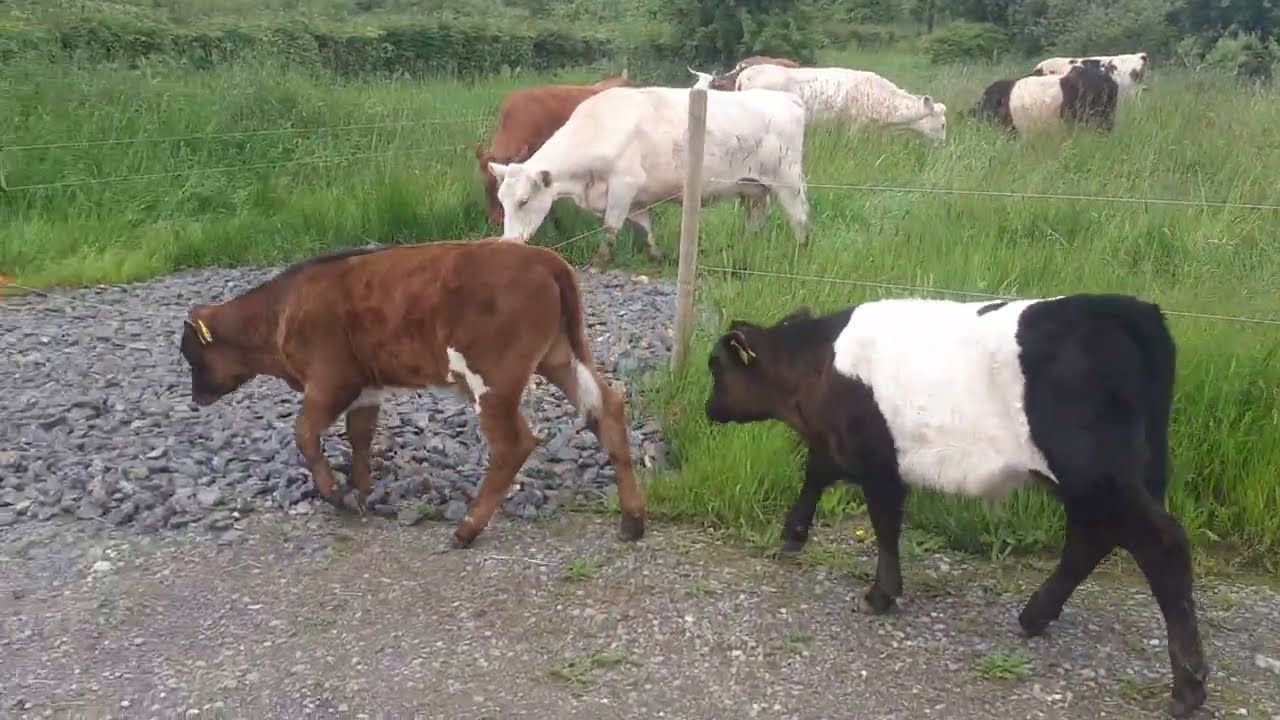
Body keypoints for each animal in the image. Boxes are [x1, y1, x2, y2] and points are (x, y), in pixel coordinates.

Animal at [177, 239, 647, 549]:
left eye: (190, 355)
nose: (195, 398)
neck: (281, 311)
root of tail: (542, 257)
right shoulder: (366, 386)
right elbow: (360, 437)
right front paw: (360, 492)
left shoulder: (331, 379)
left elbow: (305, 432)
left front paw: (335, 493)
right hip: (559, 356)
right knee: (606, 409)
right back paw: (632, 520)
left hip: (493, 378)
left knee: (513, 444)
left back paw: (466, 529)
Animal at [486, 85, 811, 268]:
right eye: (502, 201)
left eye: (524, 201)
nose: (508, 242)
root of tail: (788, 99)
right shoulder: (635, 197)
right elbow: (645, 228)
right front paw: (657, 256)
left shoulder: (623, 186)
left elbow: (610, 228)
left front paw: (598, 263)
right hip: (753, 187)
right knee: (757, 216)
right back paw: (747, 244)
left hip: (788, 180)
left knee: (800, 216)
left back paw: (800, 251)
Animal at [702, 294, 1208, 718]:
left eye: (715, 367)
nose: (708, 409)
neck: (822, 366)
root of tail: (1125, 308)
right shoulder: (843, 445)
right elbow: (817, 473)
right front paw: (794, 535)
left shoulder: (876, 457)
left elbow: (883, 522)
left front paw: (879, 594)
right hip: (1097, 480)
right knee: (1092, 537)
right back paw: (1035, 615)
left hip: (1096, 473)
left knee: (1161, 546)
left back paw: (1188, 686)